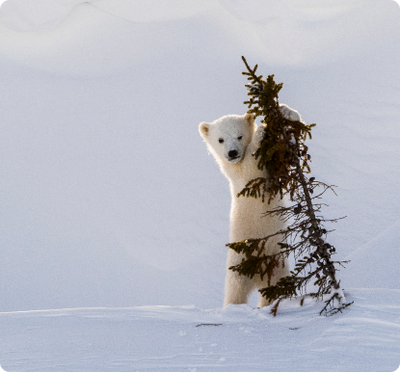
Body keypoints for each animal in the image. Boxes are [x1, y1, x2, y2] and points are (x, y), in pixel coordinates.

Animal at [200, 103, 304, 306]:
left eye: (239, 136)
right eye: (220, 139)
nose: (232, 153)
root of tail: (258, 276)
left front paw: (285, 111)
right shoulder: (240, 174)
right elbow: (251, 163)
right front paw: (262, 129)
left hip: (278, 266)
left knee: (276, 289)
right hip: (238, 265)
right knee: (235, 291)